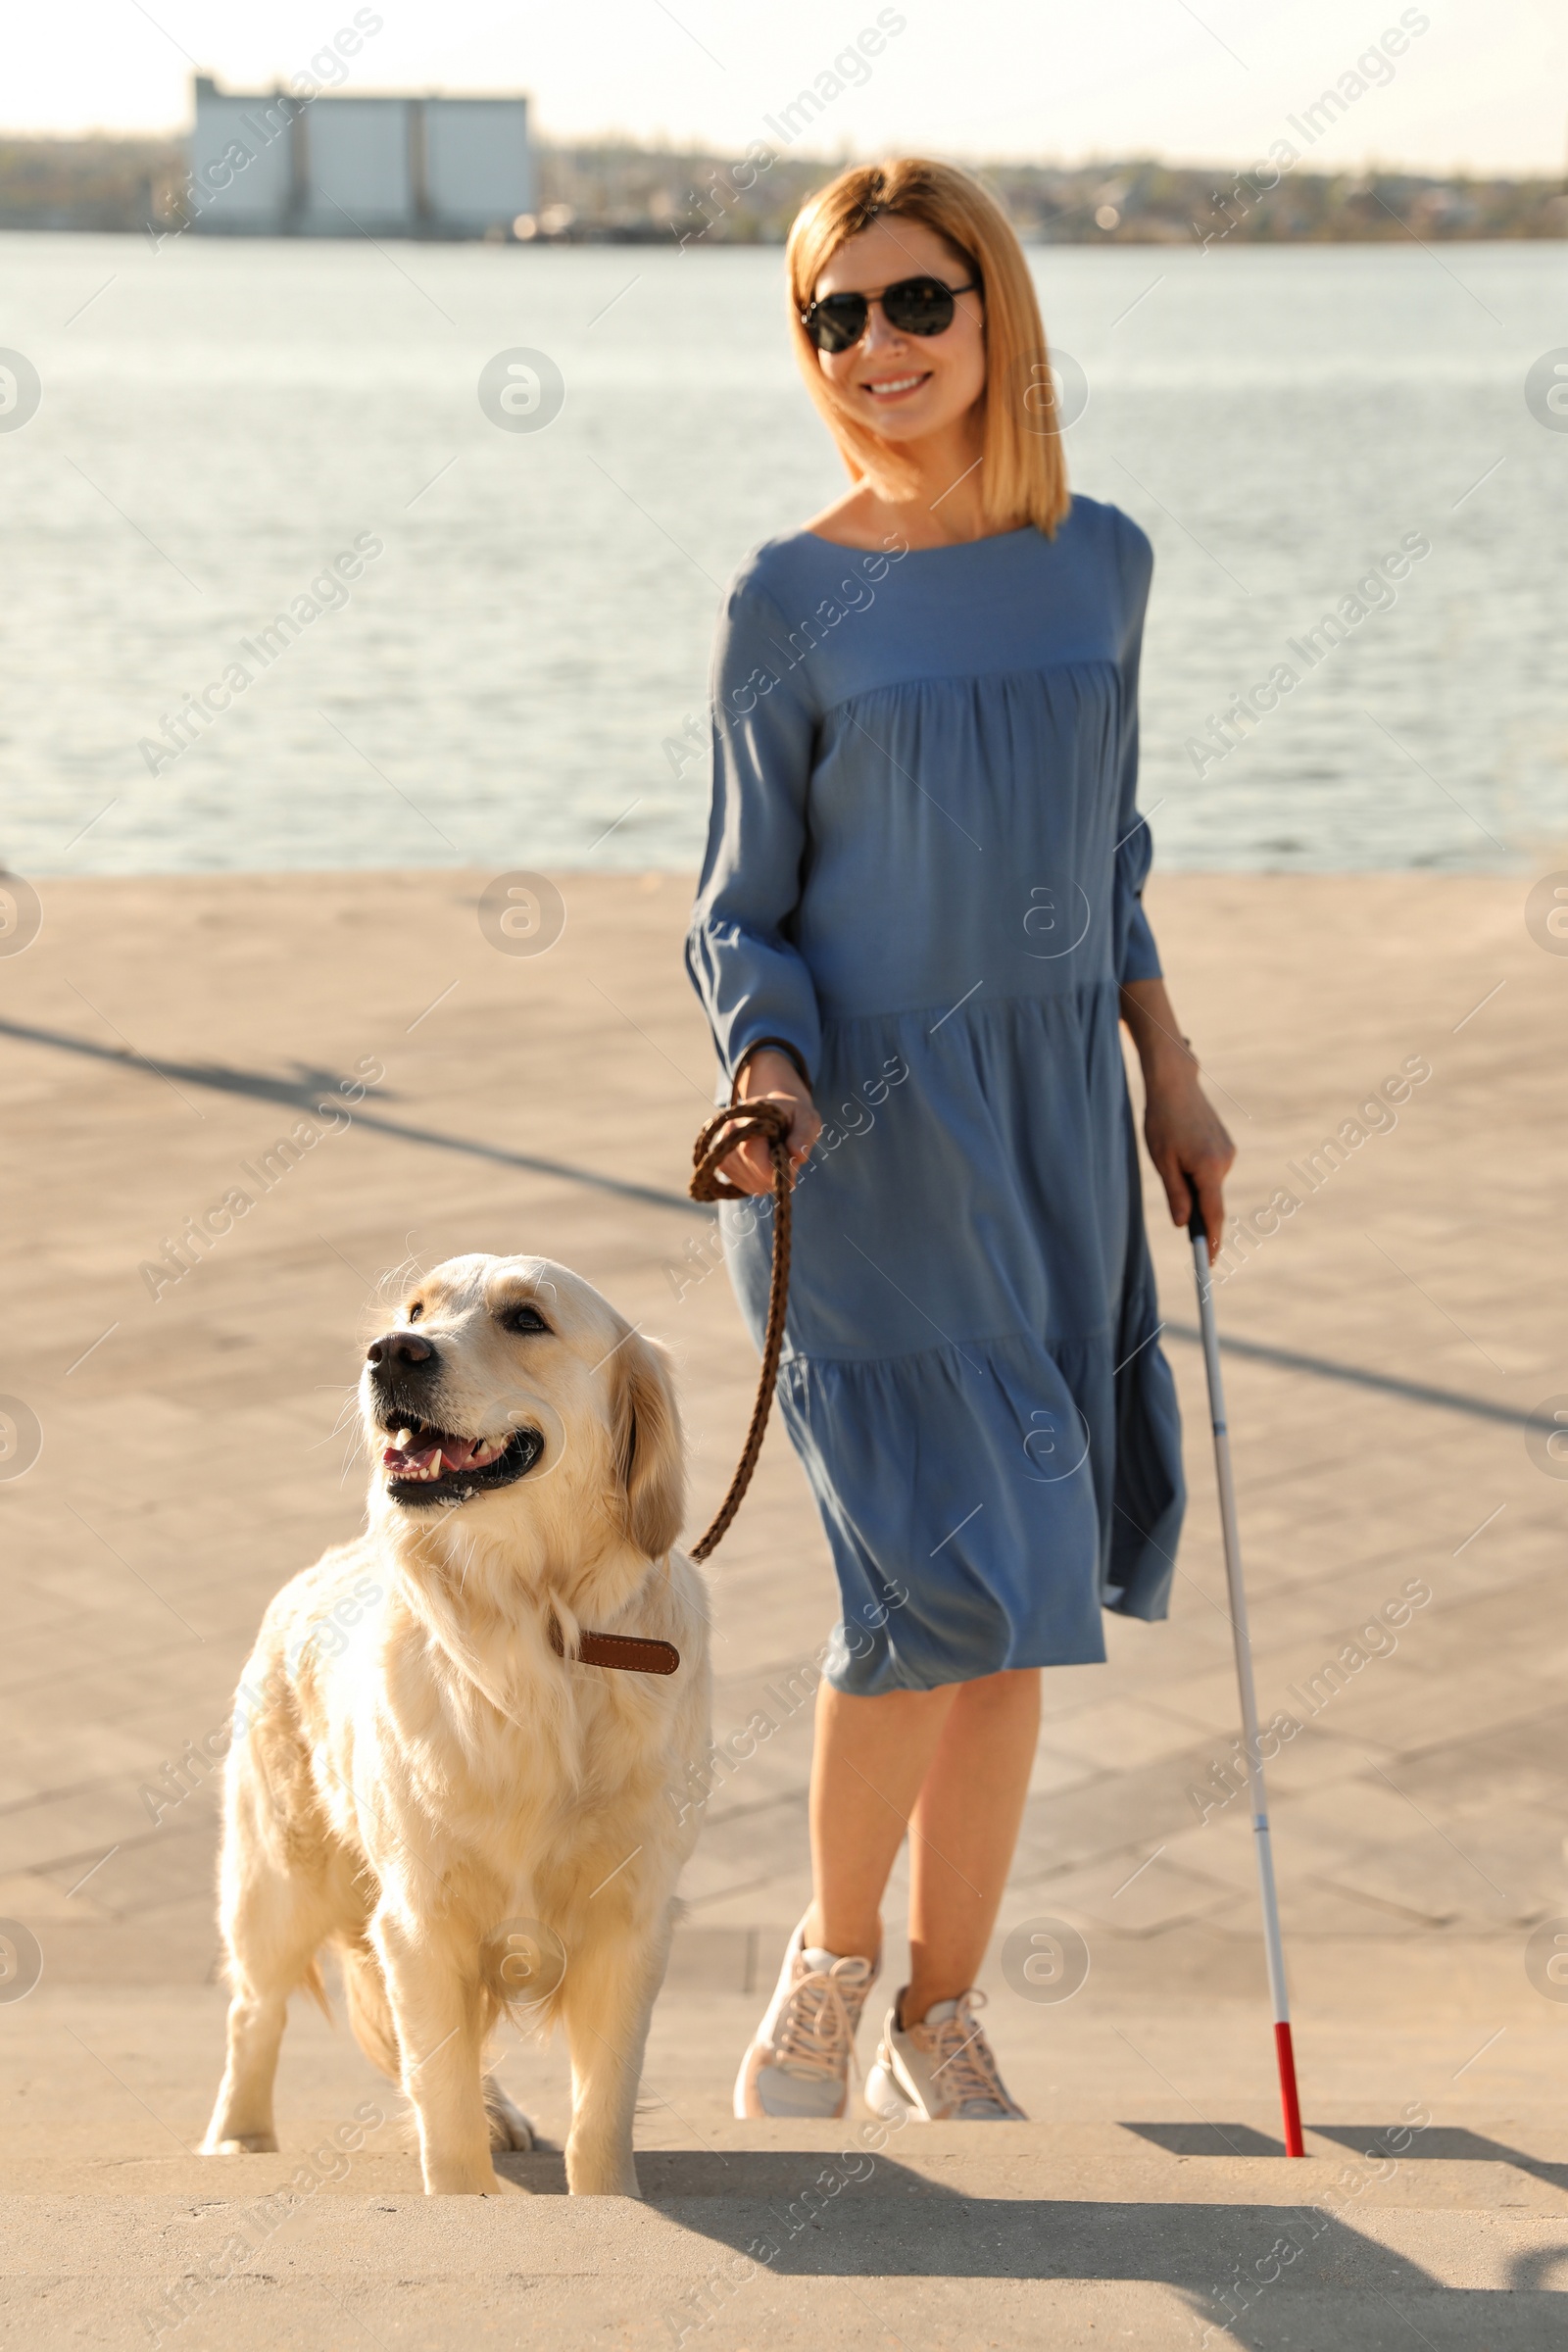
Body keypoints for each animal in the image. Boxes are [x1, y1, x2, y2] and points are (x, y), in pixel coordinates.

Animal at [201, 1260, 710, 2191]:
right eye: (416, 1308)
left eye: (526, 1318)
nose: (391, 1352)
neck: (532, 1629)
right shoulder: (418, 1917)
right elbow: (442, 2112)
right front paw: (464, 2196)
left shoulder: (632, 1918)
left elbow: (601, 2111)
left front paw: (607, 2195)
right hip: (276, 1879)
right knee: (254, 2011)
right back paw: (239, 2137)